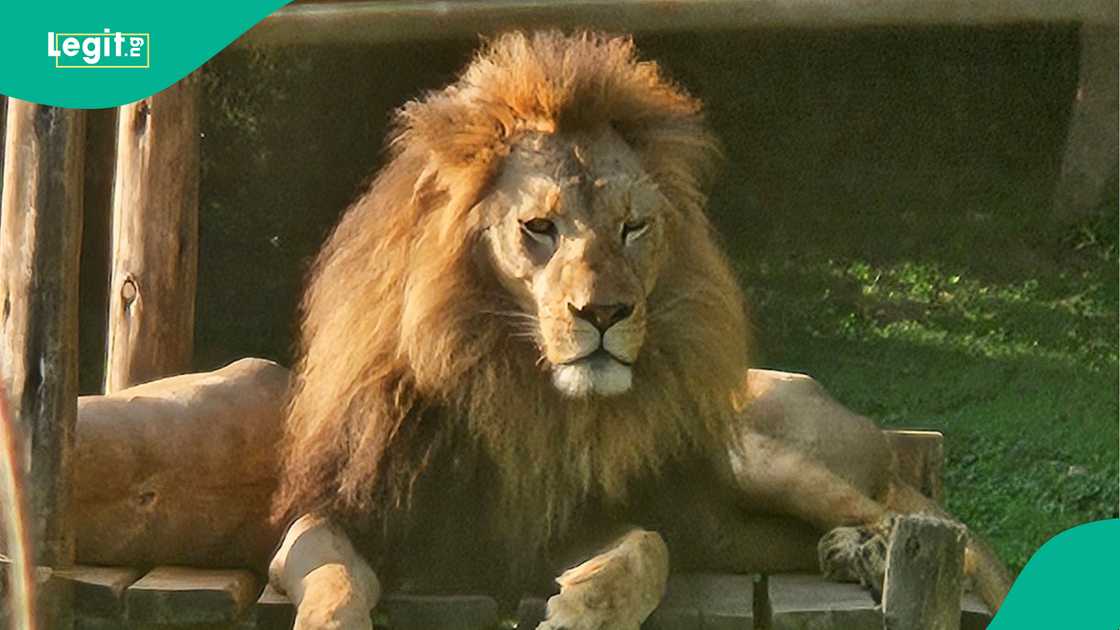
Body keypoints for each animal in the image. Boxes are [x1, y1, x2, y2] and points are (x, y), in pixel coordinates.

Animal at [269, 31, 1011, 629]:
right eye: (538, 226)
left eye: (633, 227)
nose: (604, 313)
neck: (512, 387)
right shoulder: (334, 516)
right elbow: (333, 582)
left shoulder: (576, 522)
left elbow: (649, 547)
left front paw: (585, 610)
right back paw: (846, 555)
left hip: (761, 454)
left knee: (909, 520)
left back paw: (873, 551)